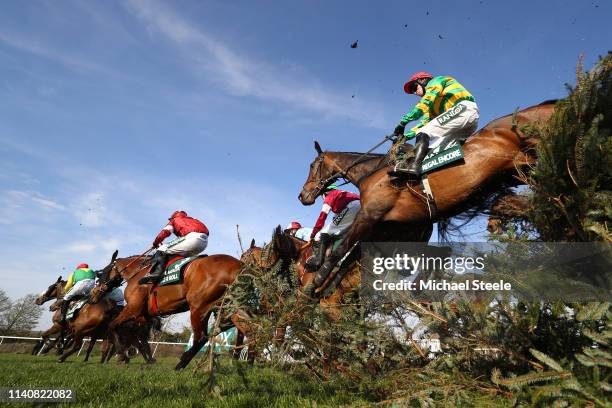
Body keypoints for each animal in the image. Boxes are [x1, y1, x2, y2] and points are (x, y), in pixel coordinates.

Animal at [91, 250, 244, 368]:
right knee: (241, 327)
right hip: (228, 306)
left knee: (201, 336)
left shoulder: (133, 308)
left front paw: (122, 354)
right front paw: (136, 356)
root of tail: (238, 264)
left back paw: (182, 362)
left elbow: (112, 326)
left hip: (199, 307)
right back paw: (236, 360)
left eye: (102, 273)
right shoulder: (143, 317)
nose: (93, 295)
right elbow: (138, 338)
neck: (138, 274)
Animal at [298, 100, 556, 284]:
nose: (303, 196)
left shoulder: (371, 215)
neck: (374, 171)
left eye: (311, 166)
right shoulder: (391, 228)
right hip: (520, 170)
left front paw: (318, 276)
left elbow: (341, 249)